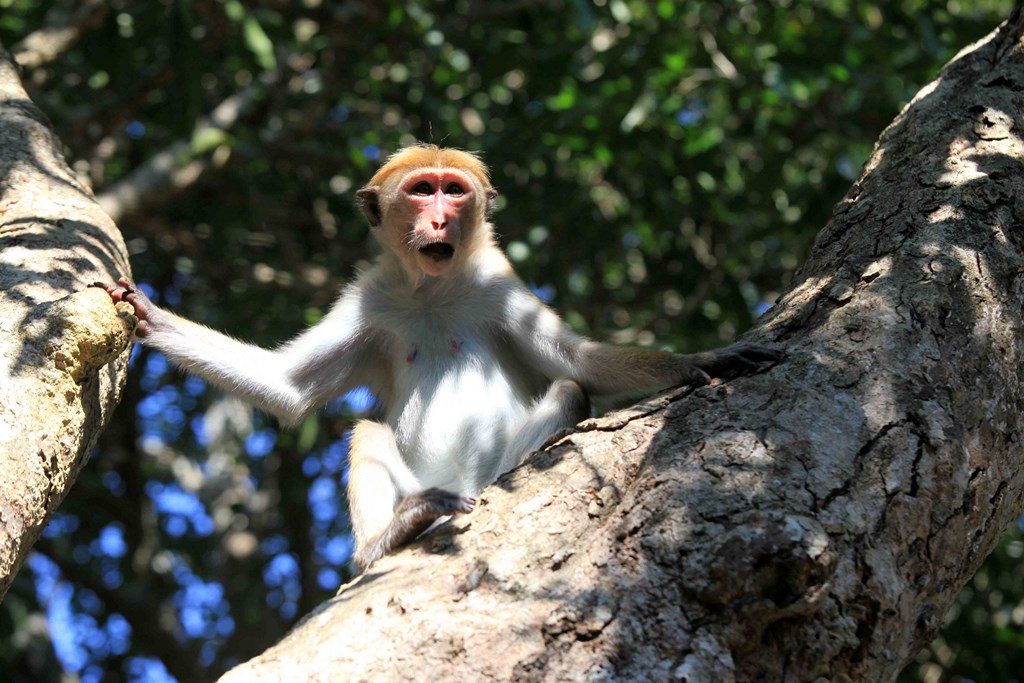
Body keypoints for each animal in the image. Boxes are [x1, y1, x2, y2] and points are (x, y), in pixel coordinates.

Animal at [104, 144, 781, 571]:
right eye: (421, 190)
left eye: (453, 192)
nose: (437, 219)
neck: (432, 293)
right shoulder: (371, 299)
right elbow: (287, 387)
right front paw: (148, 314)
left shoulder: (498, 285)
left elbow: (578, 361)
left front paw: (706, 358)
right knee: (368, 432)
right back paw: (393, 533)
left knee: (567, 391)